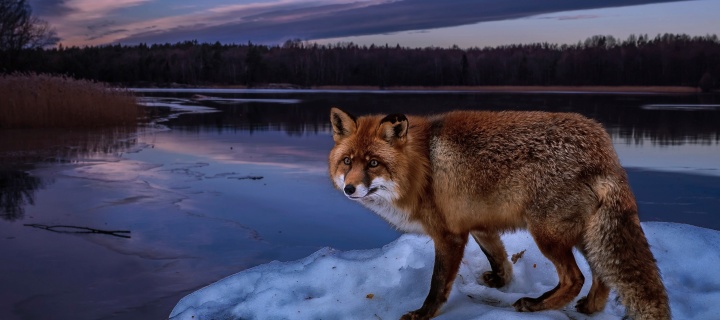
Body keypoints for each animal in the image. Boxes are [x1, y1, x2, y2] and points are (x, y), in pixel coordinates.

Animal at [330, 108, 672, 320]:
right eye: (347, 161)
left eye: (373, 163)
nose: (349, 188)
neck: (423, 166)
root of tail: (604, 148)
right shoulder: (478, 224)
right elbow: (499, 257)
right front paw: (500, 281)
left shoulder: (449, 235)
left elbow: (438, 284)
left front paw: (424, 313)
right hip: (584, 234)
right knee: (602, 276)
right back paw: (589, 307)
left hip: (548, 235)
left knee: (576, 278)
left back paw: (537, 305)